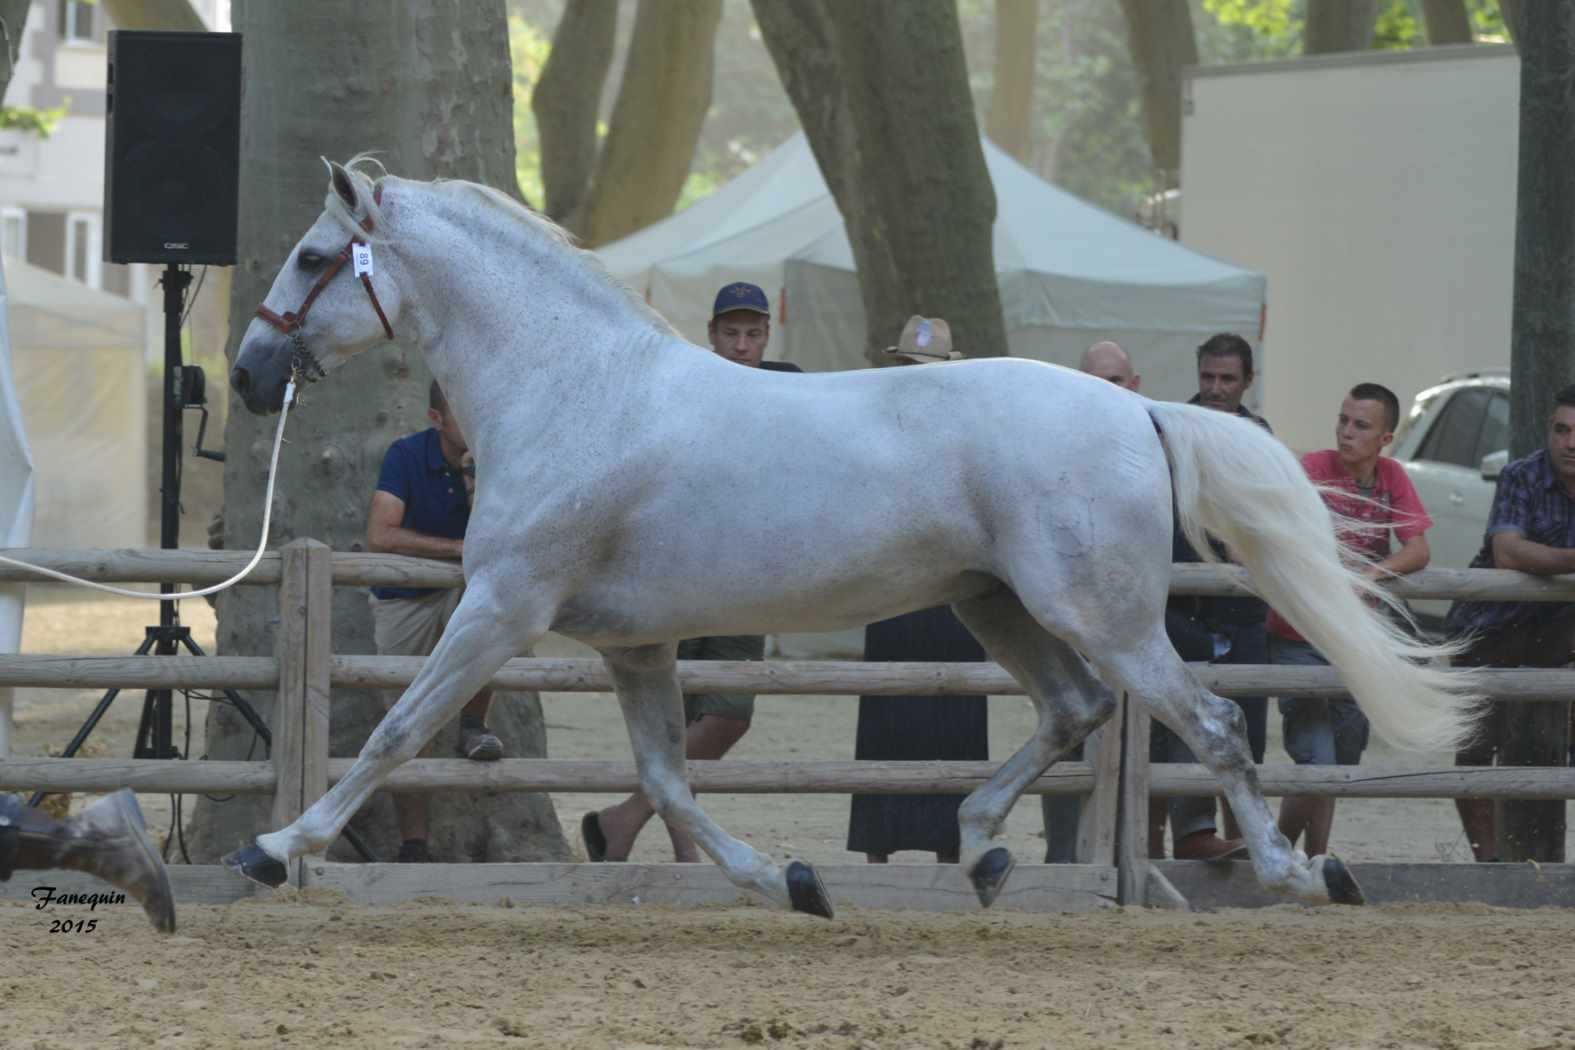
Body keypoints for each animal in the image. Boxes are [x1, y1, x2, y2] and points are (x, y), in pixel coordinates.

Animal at [225, 158, 1474, 919]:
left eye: (309, 258)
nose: (245, 373)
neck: (575, 389)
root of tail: (1137, 409)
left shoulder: (500, 609)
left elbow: (397, 732)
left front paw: (273, 851)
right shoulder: (634, 645)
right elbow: (667, 781)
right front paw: (790, 881)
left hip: (1100, 614)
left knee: (1206, 725)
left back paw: (1292, 873)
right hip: (995, 604)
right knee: (1074, 713)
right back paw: (981, 848)